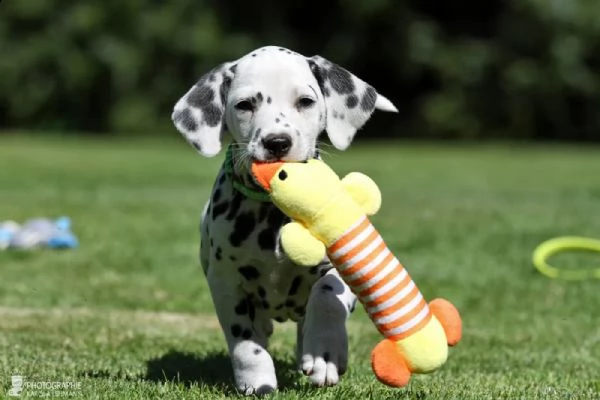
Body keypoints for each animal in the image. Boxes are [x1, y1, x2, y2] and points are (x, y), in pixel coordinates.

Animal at [171, 45, 396, 396]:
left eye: (305, 101)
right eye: (245, 105)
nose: (277, 142)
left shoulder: (342, 267)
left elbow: (326, 297)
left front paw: (324, 355)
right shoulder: (226, 282)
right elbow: (244, 339)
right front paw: (256, 380)